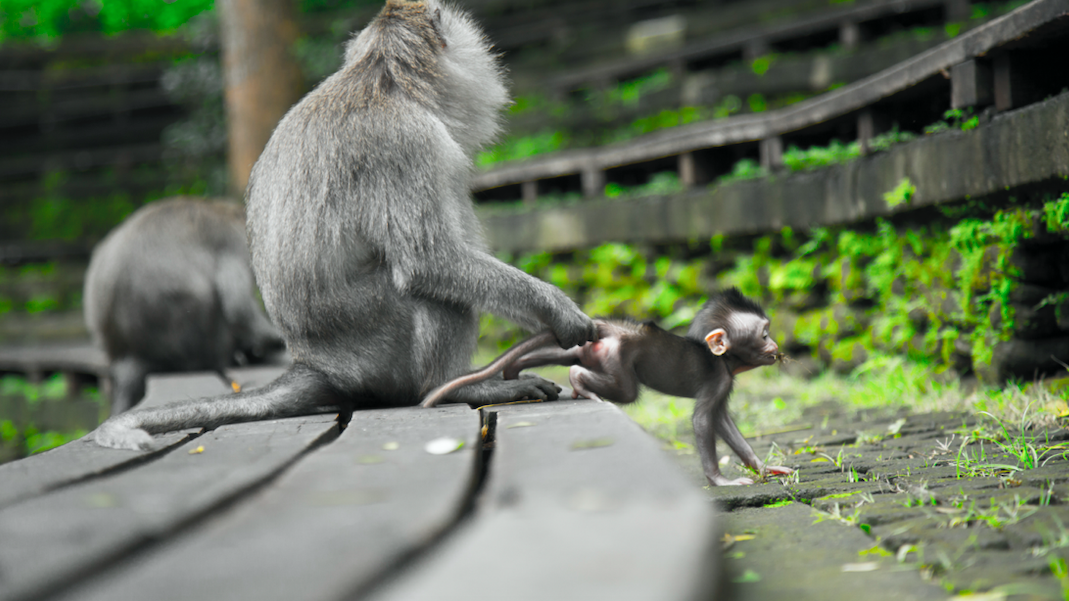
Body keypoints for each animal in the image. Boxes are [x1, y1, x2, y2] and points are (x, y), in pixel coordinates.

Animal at [423, 286, 795, 487]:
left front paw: (764, 467)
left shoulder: (724, 382)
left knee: (570, 352)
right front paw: (720, 480)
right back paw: (579, 384)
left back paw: (516, 371)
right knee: (615, 385)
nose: (777, 346)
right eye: (764, 334)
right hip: (618, 357)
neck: (722, 359)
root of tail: (618, 329)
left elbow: (722, 422)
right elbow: (704, 421)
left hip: (597, 349)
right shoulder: (717, 378)